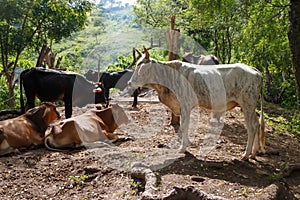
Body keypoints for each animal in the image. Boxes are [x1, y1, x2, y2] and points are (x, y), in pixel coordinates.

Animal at [127, 47, 264, 159]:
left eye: (141, 68)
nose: (129, 83)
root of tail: (254, 70)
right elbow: (183, 126)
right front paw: (187, 143)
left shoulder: (185, 105)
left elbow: (184, 126)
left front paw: (182, 148)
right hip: (251, 107)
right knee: (257, 123)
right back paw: (254, 153)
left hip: (247, 104)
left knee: (251, 126)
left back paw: (246, 154)